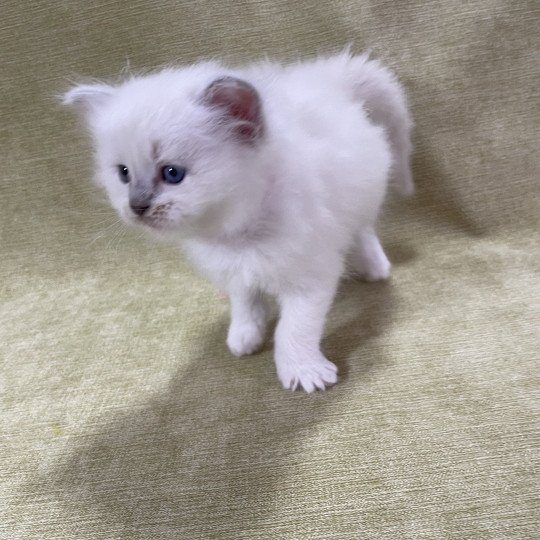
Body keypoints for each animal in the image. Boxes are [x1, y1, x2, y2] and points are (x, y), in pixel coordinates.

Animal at [66, 51, 414, 392]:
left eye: (172, 173)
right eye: (123, 173)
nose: (136, 206)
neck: (240, 234)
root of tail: (325, 79)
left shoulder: (310, 277)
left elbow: (292, 329)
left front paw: (303, 371)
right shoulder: (236, 271)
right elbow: (246, 304)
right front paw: (245, 336)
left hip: (364, 198)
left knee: (364, 229)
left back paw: (375, 267)